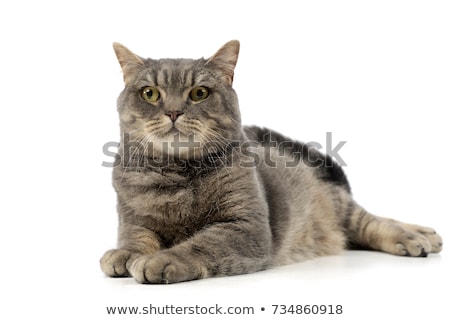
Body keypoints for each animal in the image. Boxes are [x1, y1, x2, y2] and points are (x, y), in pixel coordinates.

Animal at [99, 40, 442, 284]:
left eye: (199, 93)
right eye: (149, 93)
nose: (172, 111)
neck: (177, 174)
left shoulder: (245, 226)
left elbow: (201, 243)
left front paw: (163, 259)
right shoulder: (133, 220)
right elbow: (136, 238)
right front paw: (124, 255)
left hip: (340, 208)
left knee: (372, 222)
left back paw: (415, 236)